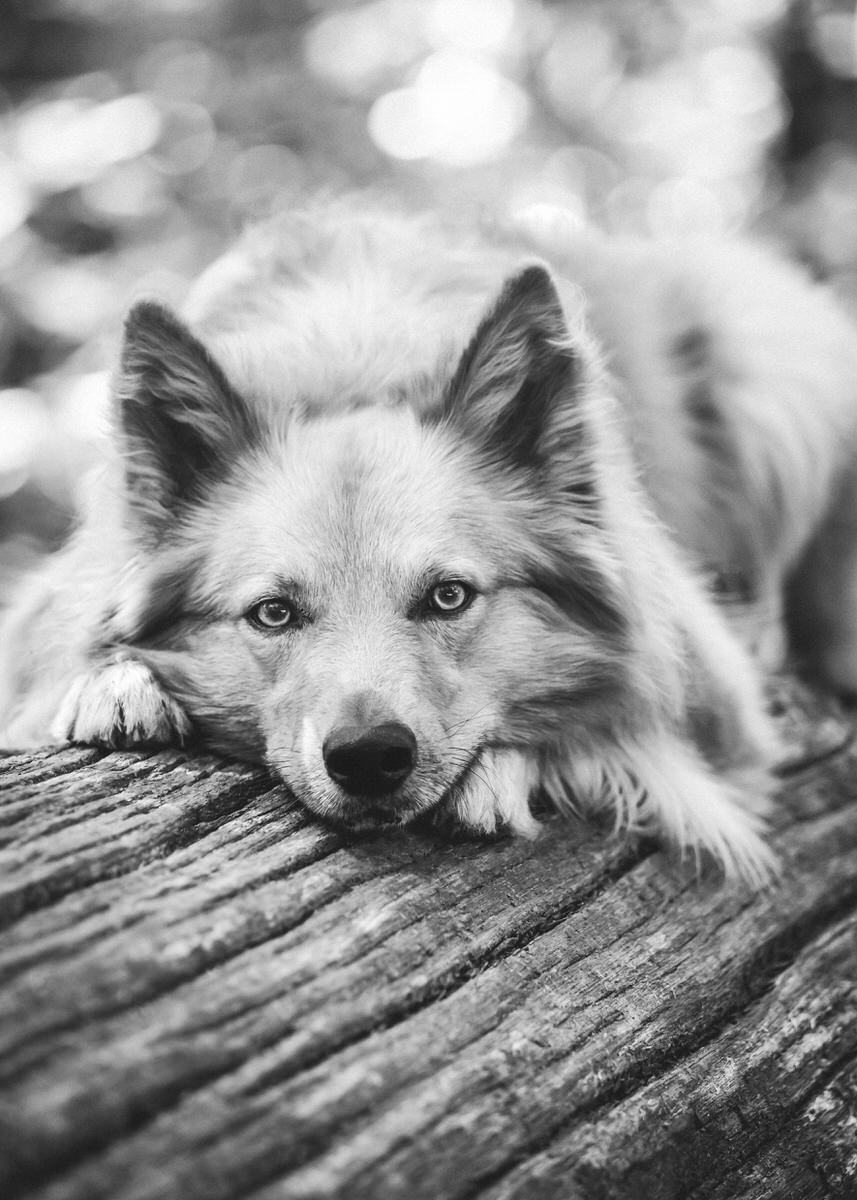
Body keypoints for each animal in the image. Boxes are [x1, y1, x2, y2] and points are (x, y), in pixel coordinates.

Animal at [1, 201, 854, 888]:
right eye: (272, 613)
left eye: (448, 597)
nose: (368, 757)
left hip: (771, 367)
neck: (352, 371)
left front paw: (496, 772)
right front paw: (114, 685)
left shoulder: (709, 712)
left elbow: (603, 724)